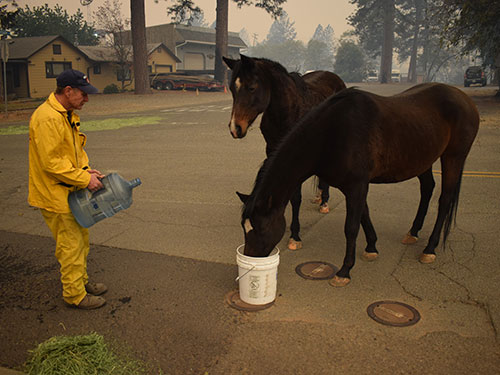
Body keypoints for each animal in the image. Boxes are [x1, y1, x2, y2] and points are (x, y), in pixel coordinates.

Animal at [224, 54, 348, 251]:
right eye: (232, 89)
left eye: (251, 87)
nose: (235, 128)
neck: (286, 112)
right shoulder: (273, 151)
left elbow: (295, 198)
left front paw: (294, 236)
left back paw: (324, 202)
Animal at [238, 83, 480, 286]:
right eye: (245, 227)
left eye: (260, 228)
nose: (250, 260)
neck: (332, 133)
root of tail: (464, 99)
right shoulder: (353, 186)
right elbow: (364, 214)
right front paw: (371, 247)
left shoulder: (357, 185)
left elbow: (351, 227)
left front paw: (345, 270)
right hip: (423, 160)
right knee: (427, 189)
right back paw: (413, 232)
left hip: (453, 157)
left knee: (445, 200)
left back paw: (430, 248)